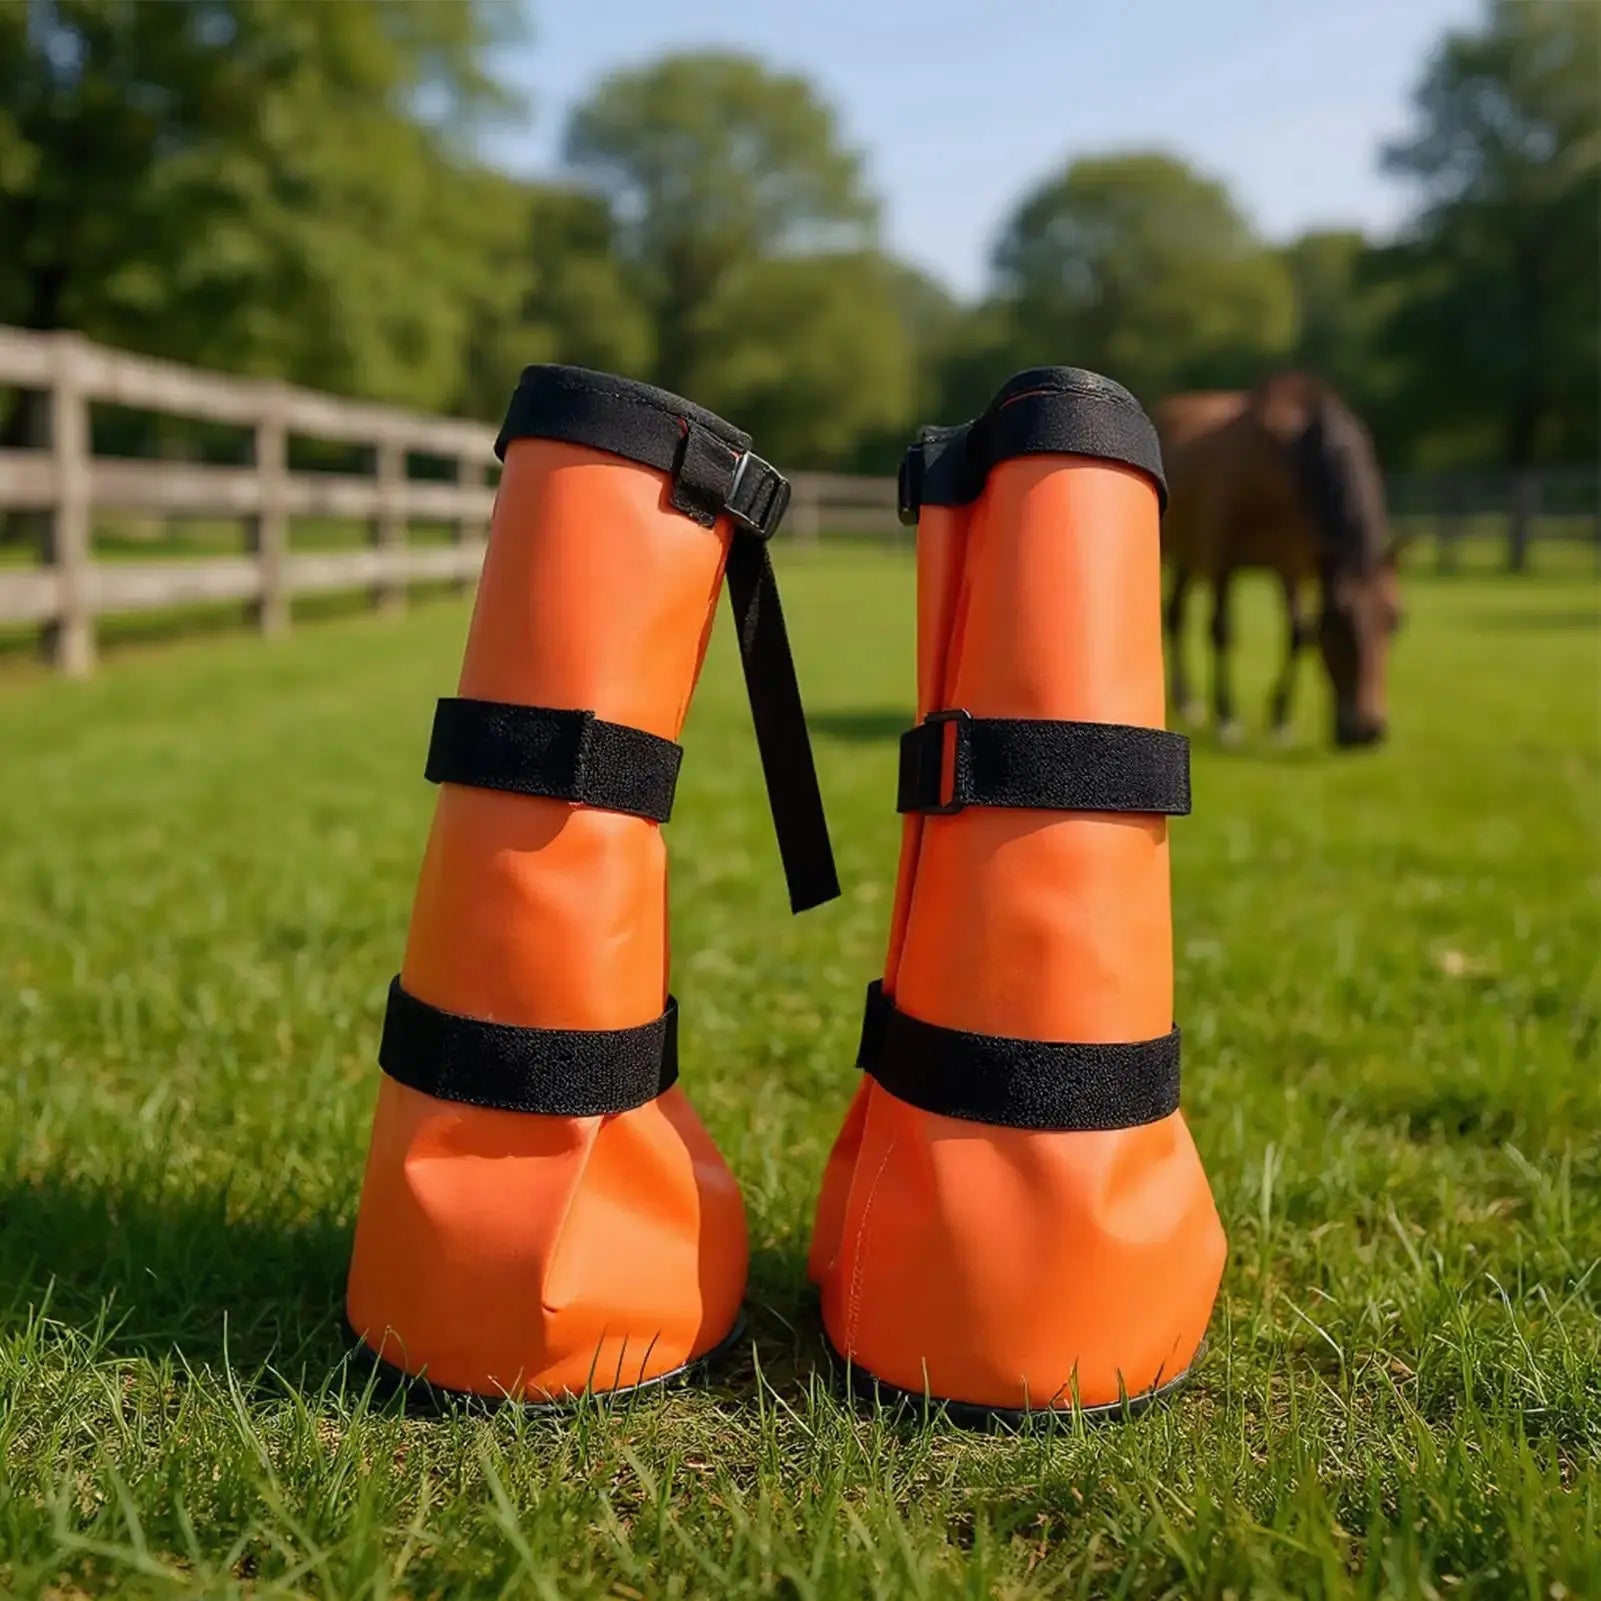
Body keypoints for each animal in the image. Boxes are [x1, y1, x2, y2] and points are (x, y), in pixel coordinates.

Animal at [1155, 372, 1402, 747]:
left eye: (1395, 621)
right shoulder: (1222, 560)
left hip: (1190, 558)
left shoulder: (1292, 567)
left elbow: (1298, 635)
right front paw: (1227, 718)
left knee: (1175, 616)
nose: (1368, 731)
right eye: (1339, 626)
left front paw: (1281, 721)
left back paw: (1189, 702)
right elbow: (1221, 631)